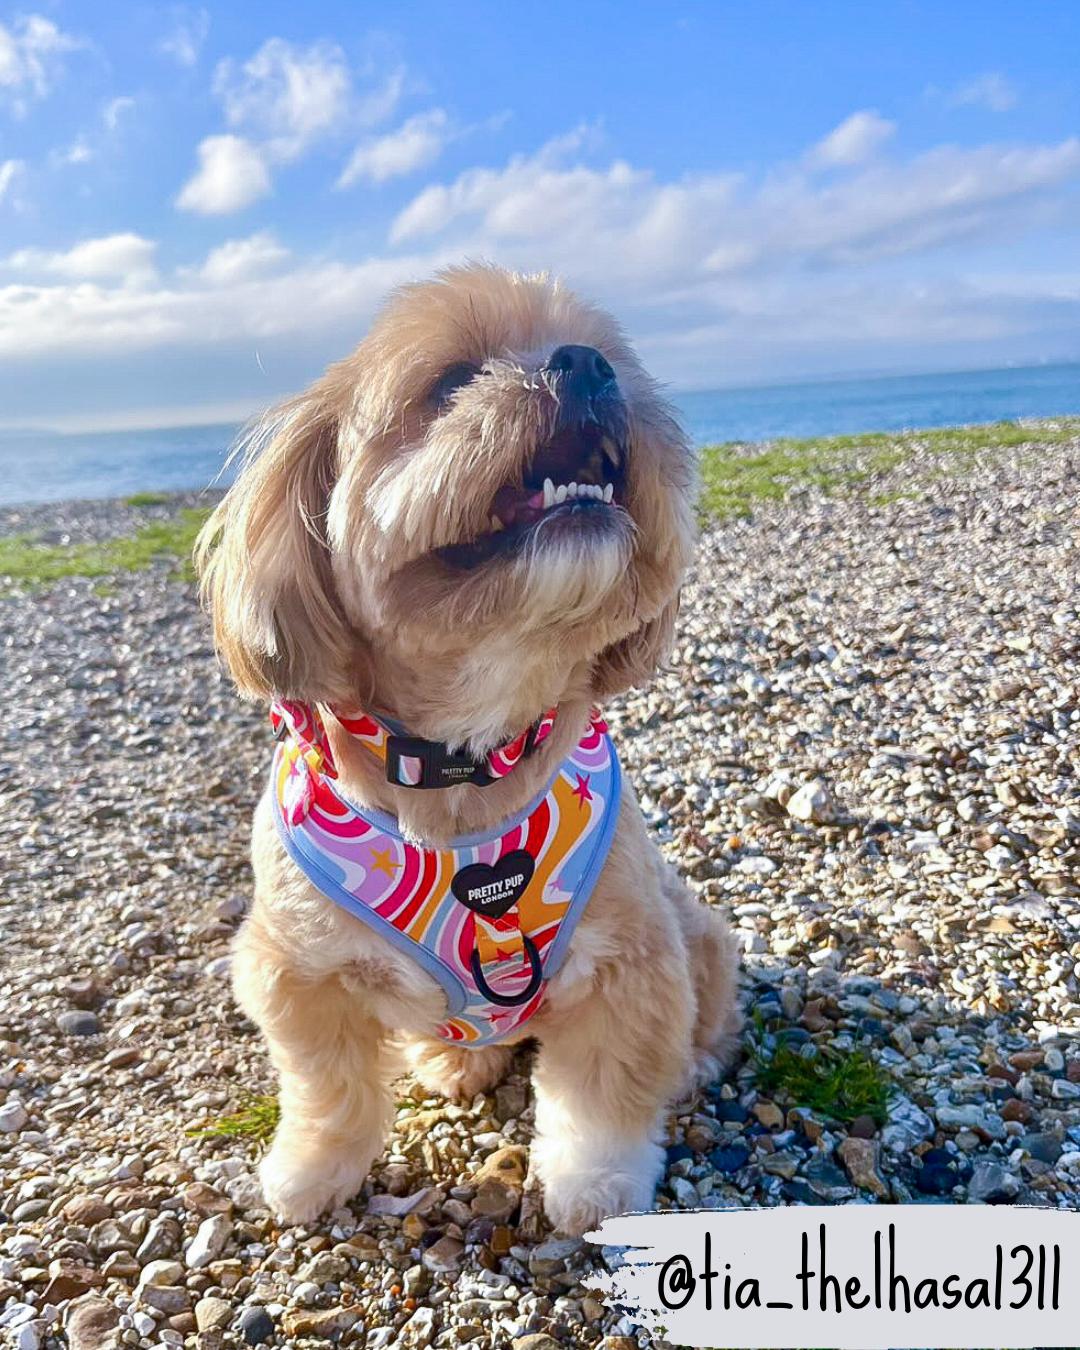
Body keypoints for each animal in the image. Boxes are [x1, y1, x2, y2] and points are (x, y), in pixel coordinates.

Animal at [195, 263, 745, 1236]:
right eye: (452, 380)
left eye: (613, 353)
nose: (586, 364)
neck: (462, 756)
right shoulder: (295, 971)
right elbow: (328, 1089)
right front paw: (313, 1169)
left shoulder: (630, 963)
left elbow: (603, 1093)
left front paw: (596, 1185)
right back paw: (457, 1061)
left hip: (698, 931)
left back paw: (693, 1063)